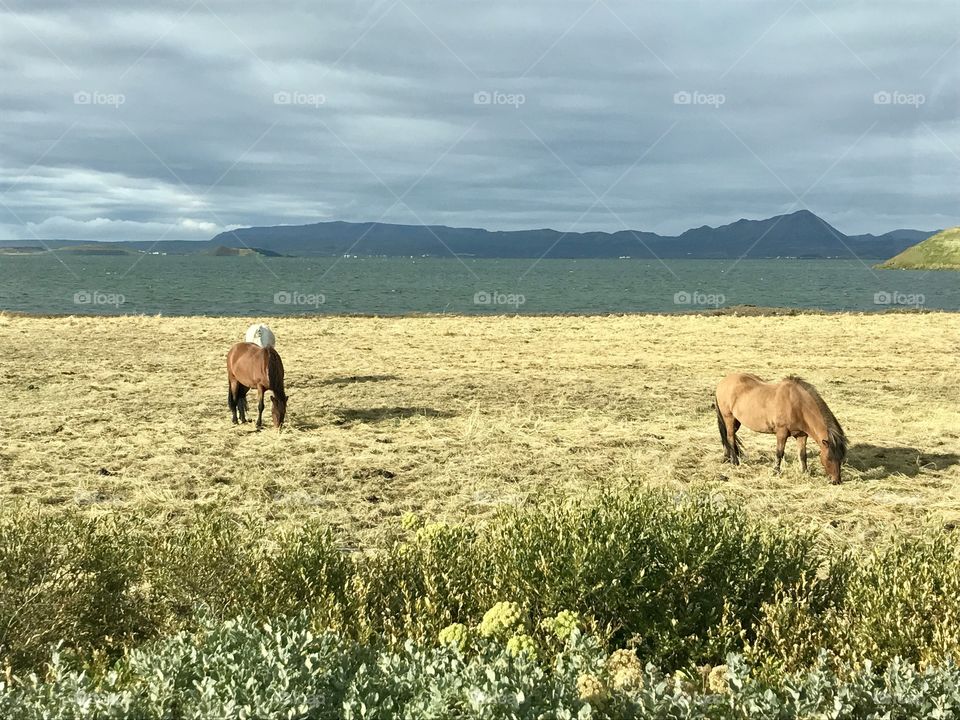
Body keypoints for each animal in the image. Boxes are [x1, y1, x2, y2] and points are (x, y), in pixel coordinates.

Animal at [714, 373, 848, 484]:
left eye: (841, 458)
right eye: (829, 458)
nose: (836, 481)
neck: (797, 404)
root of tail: (722, 382)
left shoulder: (801, 435)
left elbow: (802, 454)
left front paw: (805, 472)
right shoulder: (781, 433)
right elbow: (779, 453)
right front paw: (776, 471)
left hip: (736, 421)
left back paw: (727, 457)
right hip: (729, 418)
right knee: (730, 437)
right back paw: (735, 462)